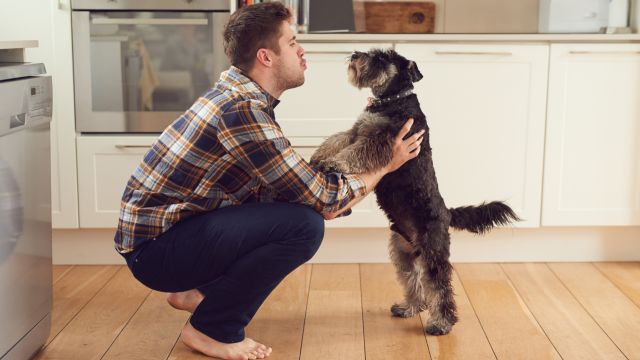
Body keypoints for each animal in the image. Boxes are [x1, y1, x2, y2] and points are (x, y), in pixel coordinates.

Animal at [310, 47, 520, 334]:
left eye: (381, 57)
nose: (354, 54)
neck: (392, 100)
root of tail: (447, 213)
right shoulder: (357, 131)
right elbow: (337, 139)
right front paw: (318, 157)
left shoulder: (381, 141)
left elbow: (354, 153)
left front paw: (333, 163)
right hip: (402, 253)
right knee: (414, 282)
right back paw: (409, 307)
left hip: (433, 252)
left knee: (441, 287)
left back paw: (441, 323)